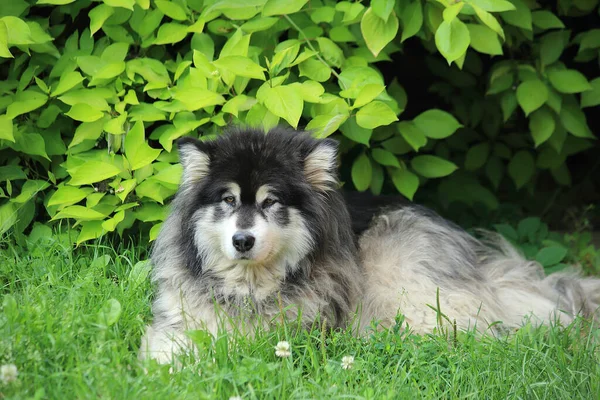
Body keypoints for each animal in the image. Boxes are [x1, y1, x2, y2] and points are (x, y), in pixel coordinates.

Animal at [139, 126, 600, 364]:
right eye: (229, 200)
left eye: (271, 202)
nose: (242, 240)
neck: (250, 284)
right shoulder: (181, 318)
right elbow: (168, 347)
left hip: (398, 266)